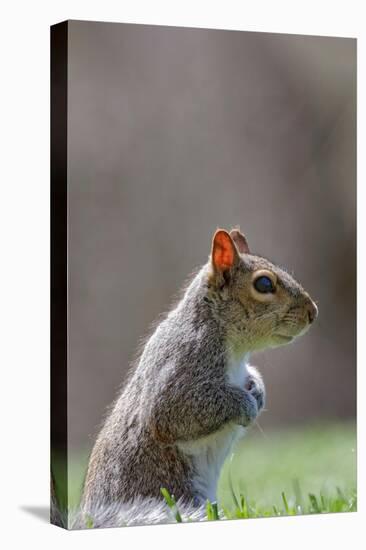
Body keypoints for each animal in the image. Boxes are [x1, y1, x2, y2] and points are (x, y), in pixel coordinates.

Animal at [51, 229, 318, 532]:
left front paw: (258, 390)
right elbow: (172, 412)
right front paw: (246, 405)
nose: (313, 312)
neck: (232, 344)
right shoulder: (183, 362)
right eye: (263, 283)